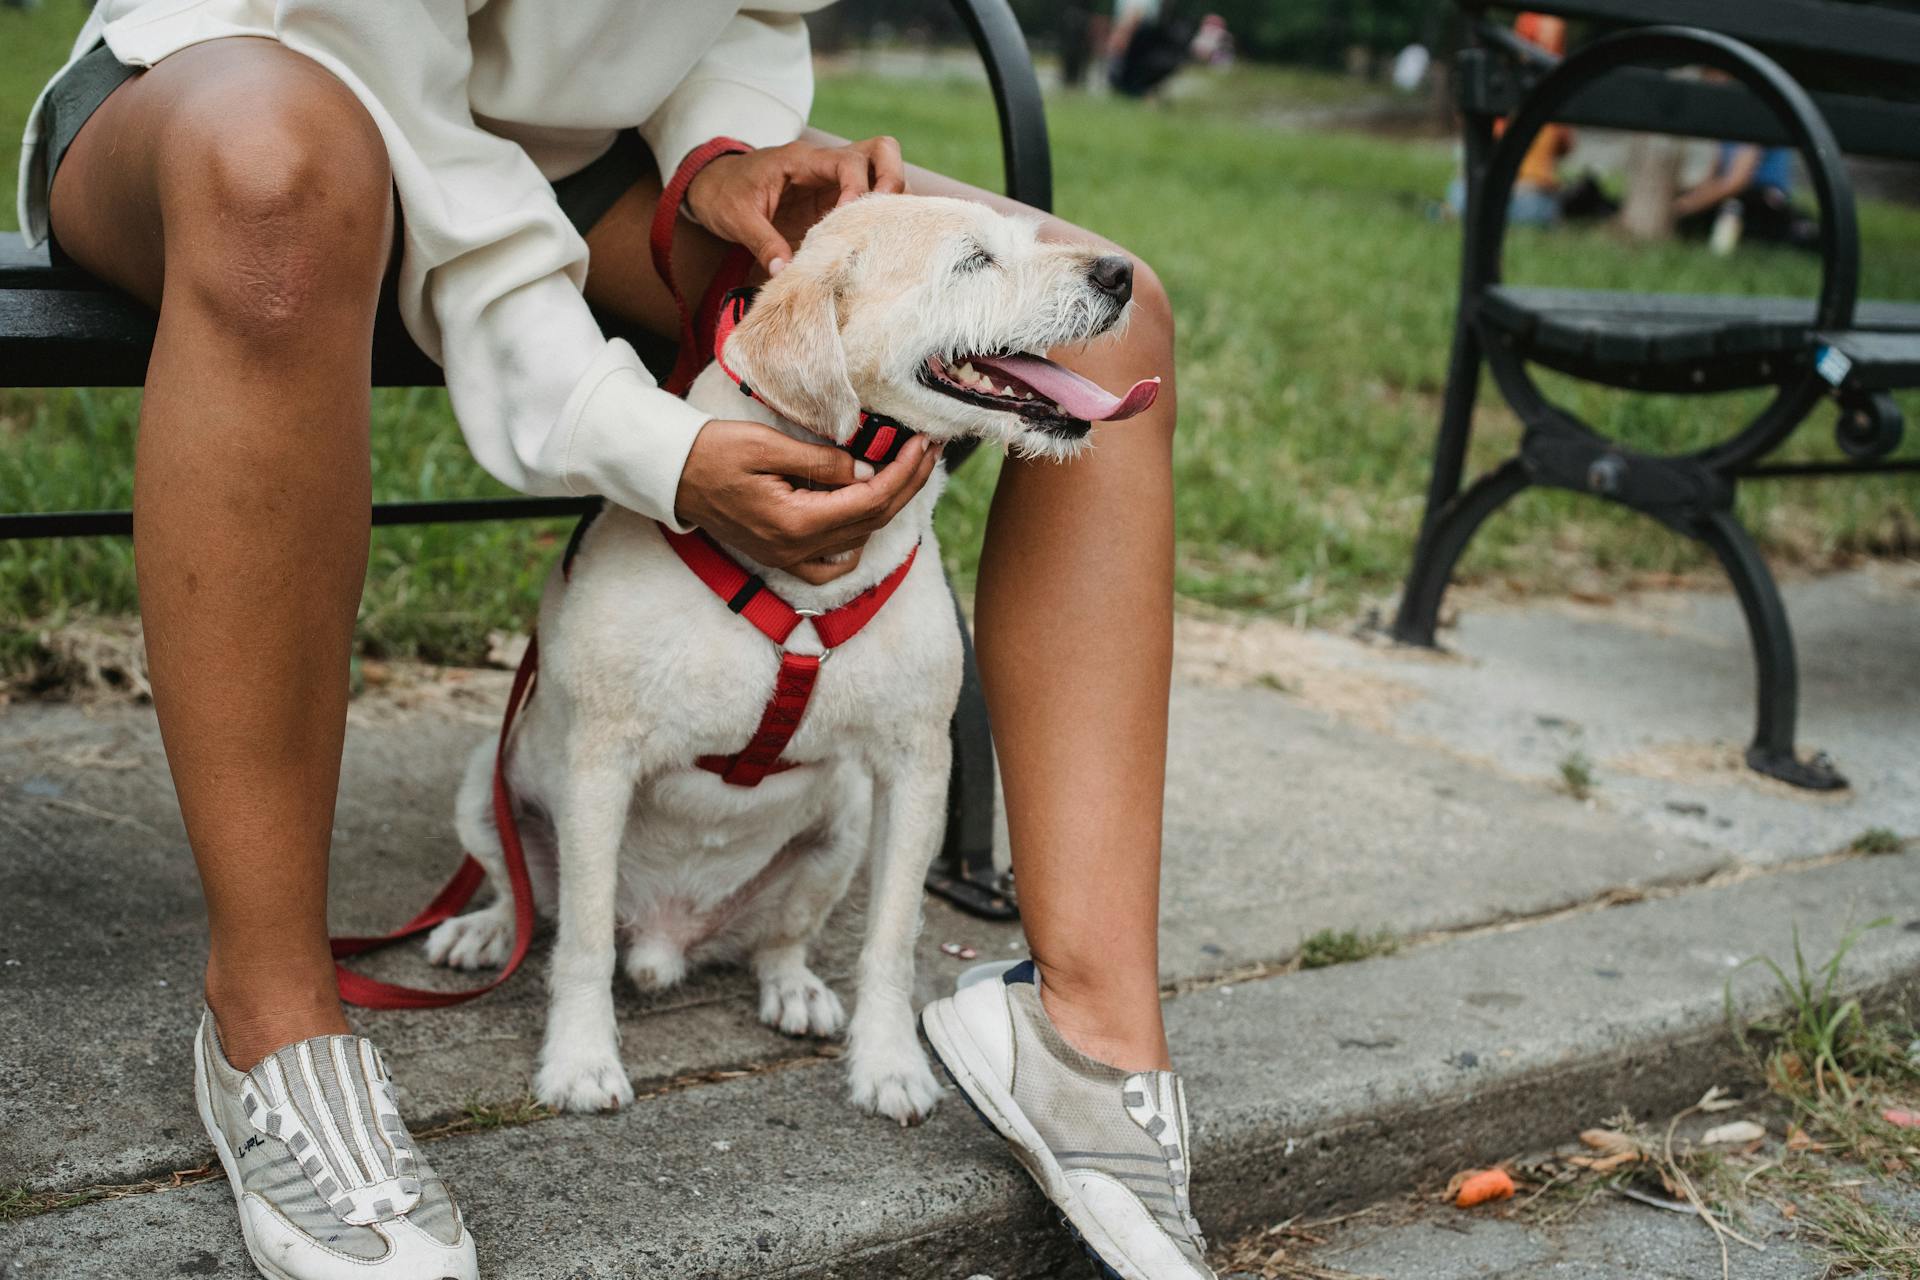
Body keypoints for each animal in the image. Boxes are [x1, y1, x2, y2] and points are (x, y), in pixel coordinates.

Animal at [424, 195, 1152, 1128]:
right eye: (972, 260)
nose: (1121, 273)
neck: (799, 588)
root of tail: (665, 936)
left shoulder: (915, 768)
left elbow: (892, 938)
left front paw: (888, 1063)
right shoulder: (597, 766)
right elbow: (581, 940)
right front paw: (580, 1060)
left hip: (838, 831)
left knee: (782, 937)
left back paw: (794, 987)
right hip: (489, 785)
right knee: (523, 896)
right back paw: (484, 930)